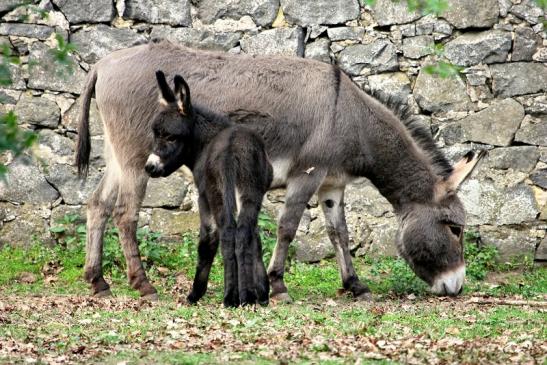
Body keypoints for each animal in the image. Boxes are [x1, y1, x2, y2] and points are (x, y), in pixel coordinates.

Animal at [147, 69, 272, 306]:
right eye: (155, 133)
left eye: (171, 136)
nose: (149, 167)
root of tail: (233, 147)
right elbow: (256, 239)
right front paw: (262, 291)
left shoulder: (203, 197)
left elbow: (207, 241)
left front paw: (195, 293)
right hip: (249, 192)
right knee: (244, 232)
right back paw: (246, 296)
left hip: (218, 194)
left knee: (228, 232)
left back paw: (231, 296)